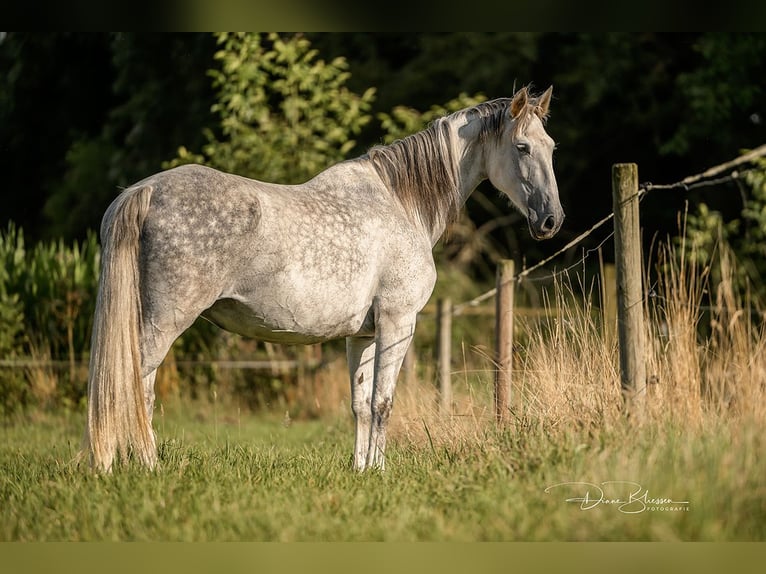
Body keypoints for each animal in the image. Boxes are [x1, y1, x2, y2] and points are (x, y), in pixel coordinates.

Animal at [82, 85, 564, 472]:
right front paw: (380, 472)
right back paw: (138, 467)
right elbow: (384, 402)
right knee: (131, 388)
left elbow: (361, 406)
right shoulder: (397, 323)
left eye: (552, 146)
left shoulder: (362, 335)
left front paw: (361, 471)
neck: (401, 203)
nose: (551, 221)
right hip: (163, 323)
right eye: (522, 147)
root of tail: (144, 192)